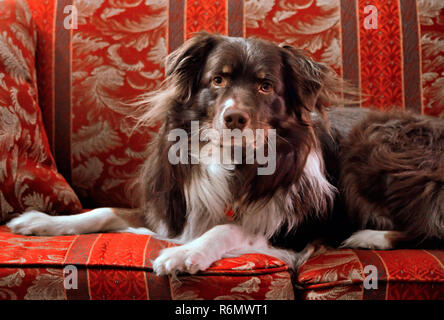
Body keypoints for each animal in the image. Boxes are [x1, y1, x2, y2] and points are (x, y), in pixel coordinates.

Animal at [6, 33, 444, 276]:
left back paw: (371, 236)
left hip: (374, 147)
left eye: (266, 86)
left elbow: (227, 228)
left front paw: (185, 254)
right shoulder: (171, 213)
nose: (234, 117)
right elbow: (103, 211)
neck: (234, 161)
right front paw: (42, 221)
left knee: (432, 227)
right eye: (217, 80)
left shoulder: (293, 233)